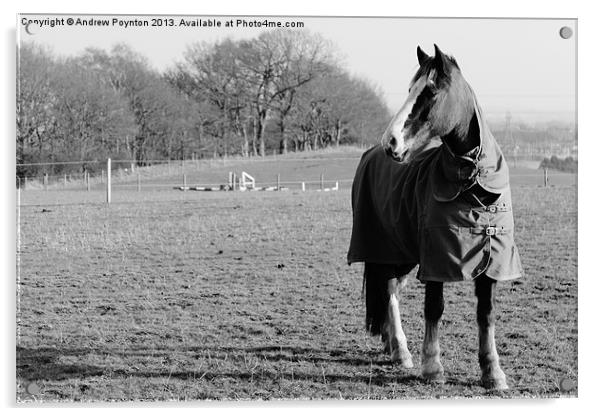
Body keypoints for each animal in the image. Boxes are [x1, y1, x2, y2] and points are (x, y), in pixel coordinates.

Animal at [346, 45, 520, 390]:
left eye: (430, 92)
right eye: (409, 90)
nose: (391, 142)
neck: (473, 188)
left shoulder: (492, 259)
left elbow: (486, 313)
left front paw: (493, 372)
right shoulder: (436, 257)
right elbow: (434, 308)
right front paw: (432, 367)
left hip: (403, 253)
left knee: (390, 290)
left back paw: (390, 344)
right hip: (385, 249)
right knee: (389, 290)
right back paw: (401, 351)